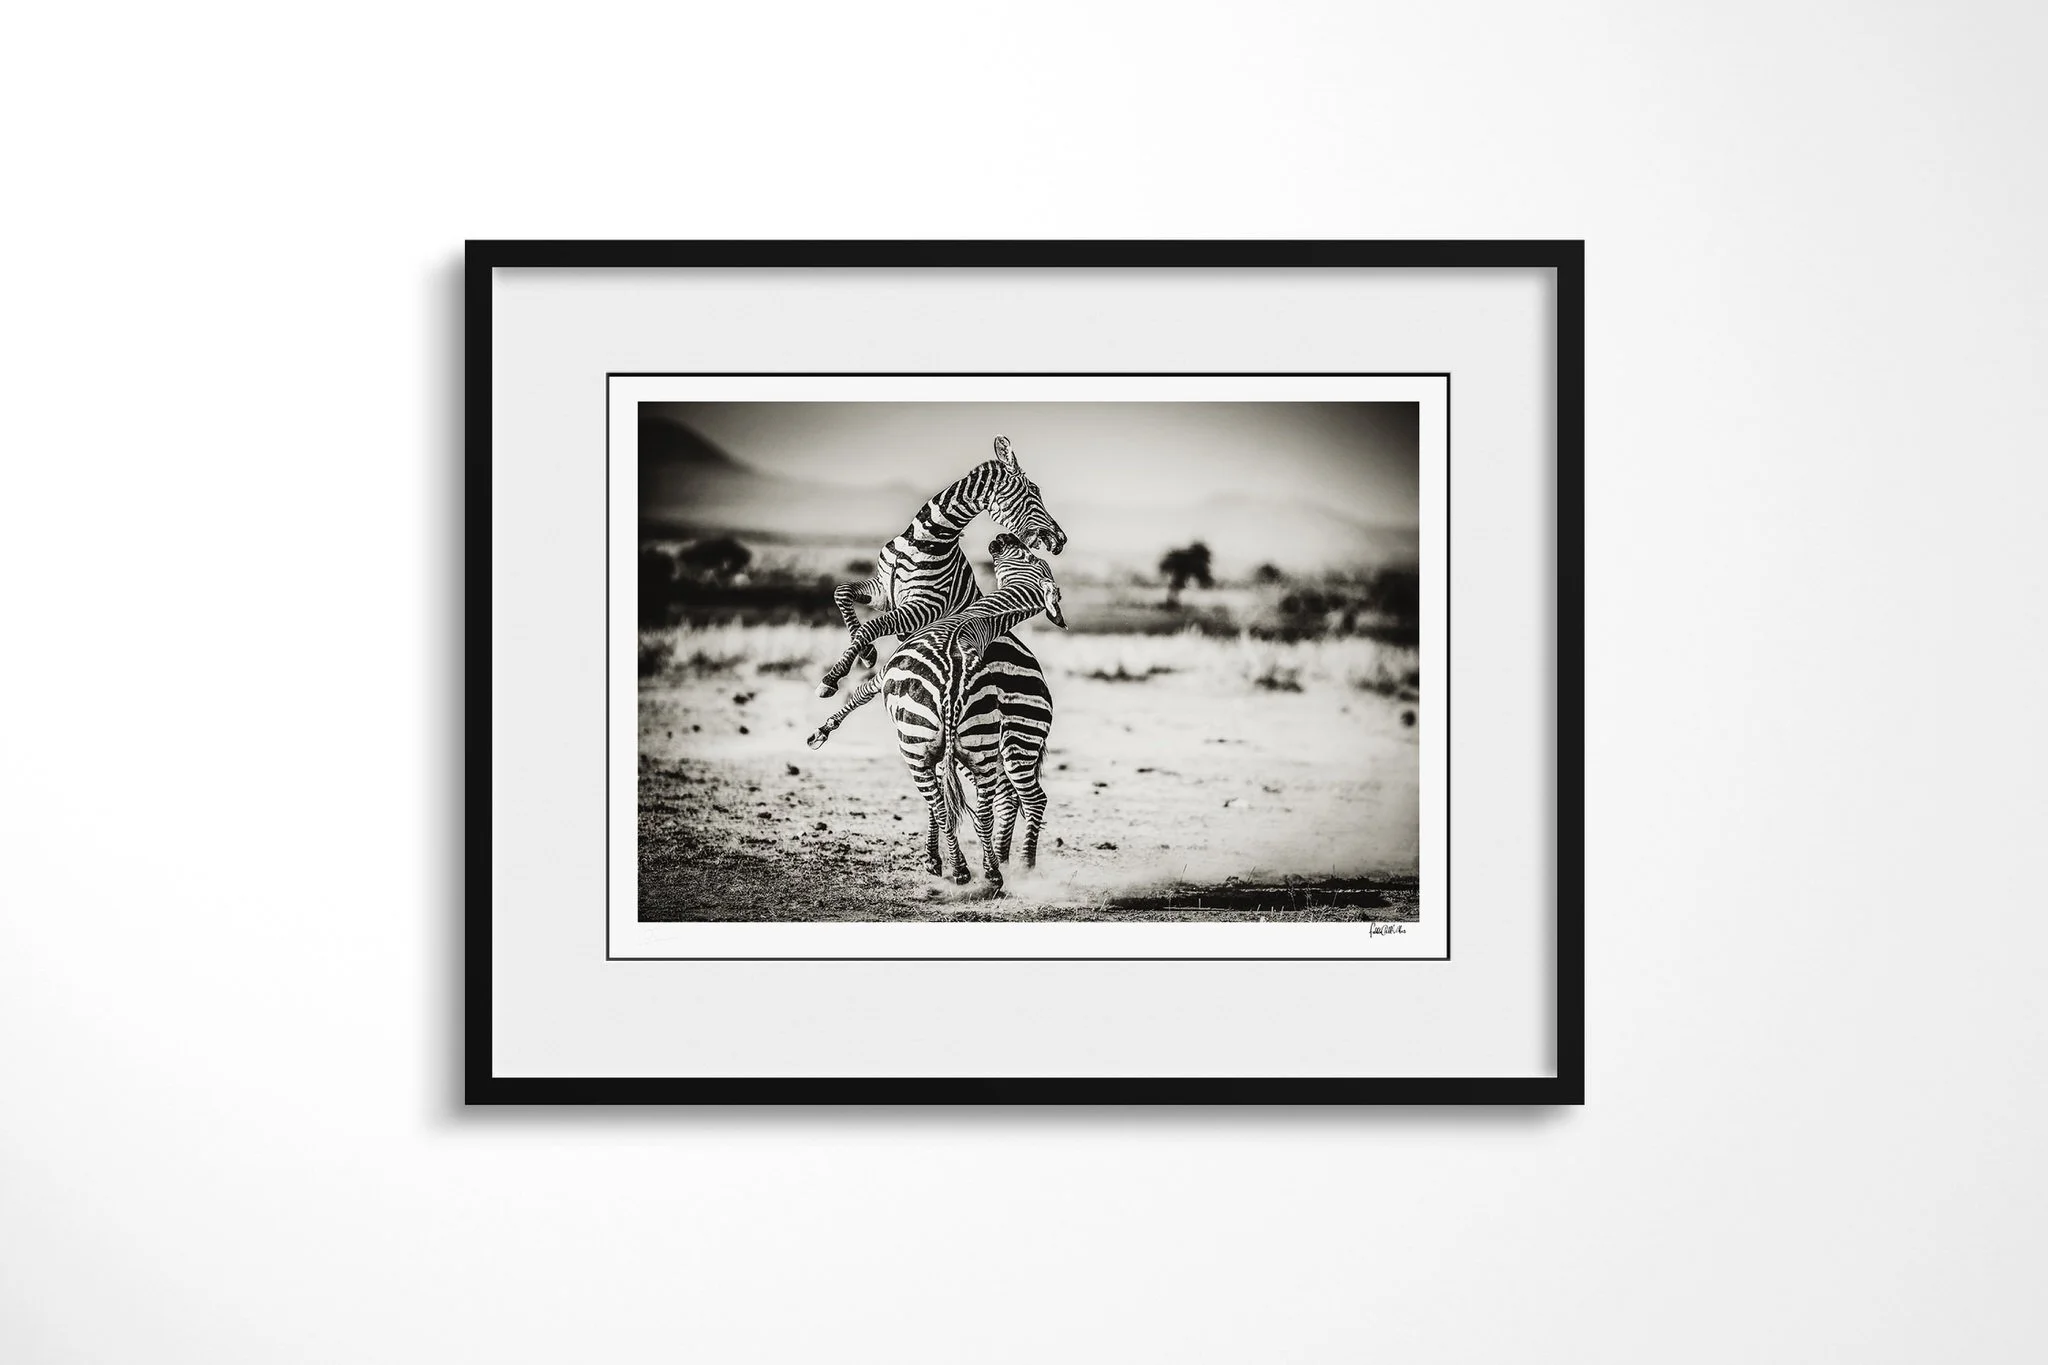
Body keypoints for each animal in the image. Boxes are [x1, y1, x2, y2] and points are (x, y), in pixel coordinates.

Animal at [806, 560, 1058, 877]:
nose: (997, 547)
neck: (971, 617)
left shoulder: (887, 674)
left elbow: (861, 692)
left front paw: (825, 720)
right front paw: (934, 856)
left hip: (987, 746)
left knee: (1014, 800)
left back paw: (1005, 866)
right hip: (992, 750)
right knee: (1003, 799)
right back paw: (1000, 863)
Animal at [816, 435, 1066, 700]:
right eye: (1034, 491)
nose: (1061, 539)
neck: (923, 539)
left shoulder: (926, 606)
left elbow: (871, 626)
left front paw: (831, 679)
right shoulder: (884, 591)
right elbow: (842, 592)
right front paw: (866, 654)